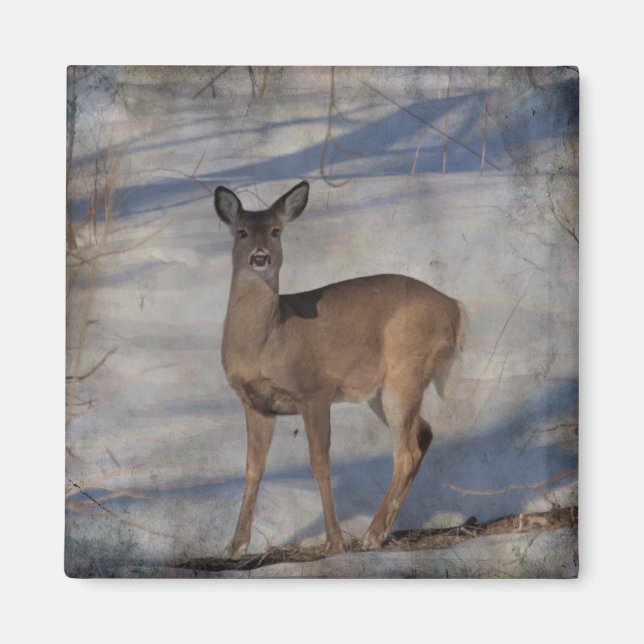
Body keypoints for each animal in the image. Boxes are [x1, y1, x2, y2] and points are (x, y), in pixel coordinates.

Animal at [214, 181, 464, 557]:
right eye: (241, 231)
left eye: (276, 231)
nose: (260, 257)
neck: (268, 340)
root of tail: (456, 309)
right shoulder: (255, 403)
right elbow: (252, 468)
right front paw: (235, 545)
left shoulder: (315, 390)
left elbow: (319, 462)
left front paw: (333, 541)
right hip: (381, 390)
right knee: (423, 432)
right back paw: (383, 530)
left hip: (406, 370)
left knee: (405, 451)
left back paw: (371, 535)